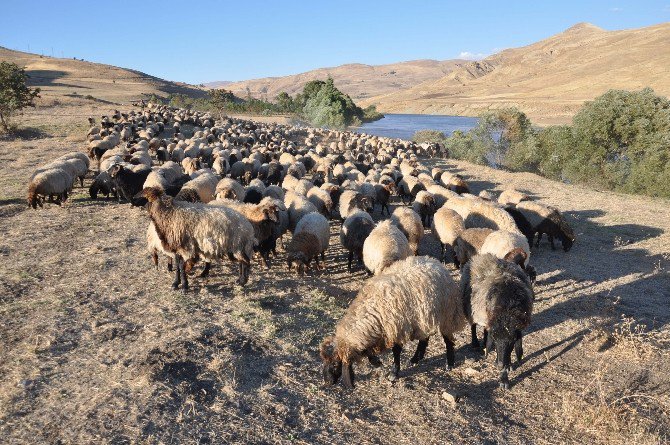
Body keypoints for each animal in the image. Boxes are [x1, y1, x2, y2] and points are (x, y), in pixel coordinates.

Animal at [320, 255, 468, 386]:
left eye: (335, 363)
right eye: (324, 360)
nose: (327, 382)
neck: (373, 309)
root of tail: (436, 263)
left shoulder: (397, 329)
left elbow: (396, 352)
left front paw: (393, 372)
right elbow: (369, 352)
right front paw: (376, 362)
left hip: (446, 316)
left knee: (448, 339)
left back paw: (449, 363)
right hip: (424, 317)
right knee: (424, 338)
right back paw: (416, 358)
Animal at [462, 253, 536, 388]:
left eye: (512, 341)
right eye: (495, 340)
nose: (501, 364)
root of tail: (482, 256)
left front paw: (507, 367)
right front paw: (503, 378)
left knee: (485, 329)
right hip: (470, 310)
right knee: (473, 326)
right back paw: (475, 343)